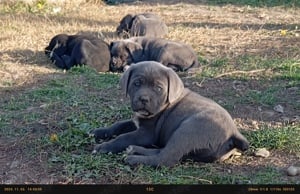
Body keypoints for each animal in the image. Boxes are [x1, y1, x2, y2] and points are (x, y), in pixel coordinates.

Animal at [89, 61, 248, 167]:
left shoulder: (147, 133)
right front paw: (98, 132)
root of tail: (234, 132)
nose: (143, 99)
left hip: (187, 130)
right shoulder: (137, 121)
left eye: (158, 88)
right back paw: (134, 150)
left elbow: (123, 137)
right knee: (165, 151)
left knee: (166, 158)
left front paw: (104, 146)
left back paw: (134, 159)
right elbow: (118, 125)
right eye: (137, 83)